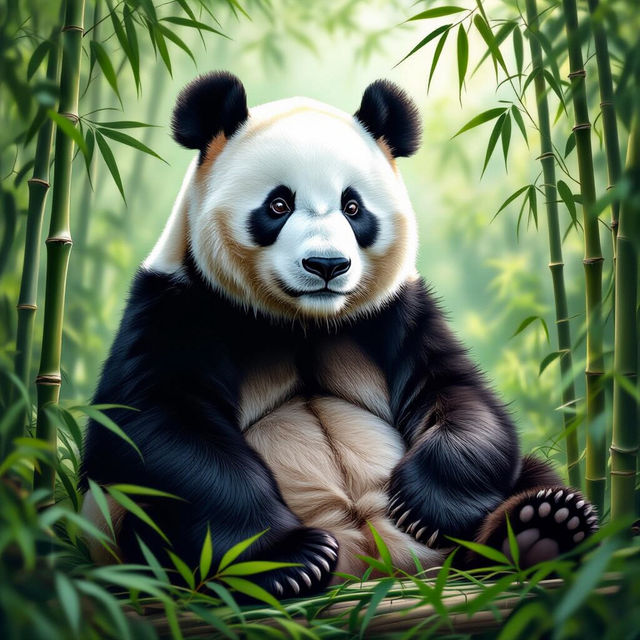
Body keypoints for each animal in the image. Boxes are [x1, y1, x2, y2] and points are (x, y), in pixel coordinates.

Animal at [80, 71, 598, 599]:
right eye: (278, 204)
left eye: (353, 207)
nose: (326, 265)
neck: (304, 319)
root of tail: (374, 563)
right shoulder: (176, 305)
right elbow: (157, 426)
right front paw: (289, 559)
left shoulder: (397, 312)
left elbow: (457, 394)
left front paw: (423, 506)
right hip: (113, 530)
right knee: (139, 517)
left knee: (527, 474)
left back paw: (544, 528)